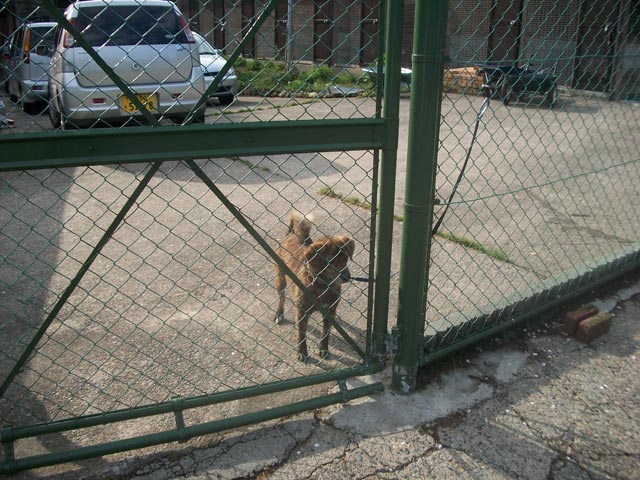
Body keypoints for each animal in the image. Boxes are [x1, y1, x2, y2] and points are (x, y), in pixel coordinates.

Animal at [272, 212, 356, 362]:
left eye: (346, 257)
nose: (347, 277)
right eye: (331, 261)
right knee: (281, 298)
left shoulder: (329, 311)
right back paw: (279, 314)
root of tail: (290, 234)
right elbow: (301, 335)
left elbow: (325, 333)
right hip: (279, 279)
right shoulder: (301, 313)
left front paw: (323, 349)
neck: (321, 284)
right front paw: (301, 352)